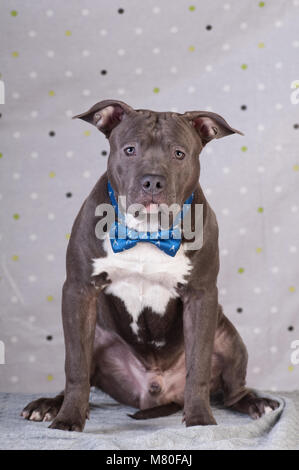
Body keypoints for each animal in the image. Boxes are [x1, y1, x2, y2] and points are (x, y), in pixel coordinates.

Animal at [21, 101, 282, 432]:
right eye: (130, 149)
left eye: (179, 153)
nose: (153, 181)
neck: (147, 232)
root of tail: (156, 392)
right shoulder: (79, 291)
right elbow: (75, 367)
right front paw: (67, 419)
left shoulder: (201, 296)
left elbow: (197, 367)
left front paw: (200, 420)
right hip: (98, 337)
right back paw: (48, 405)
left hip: (228, 337)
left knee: (232, 390)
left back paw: (255, 403)